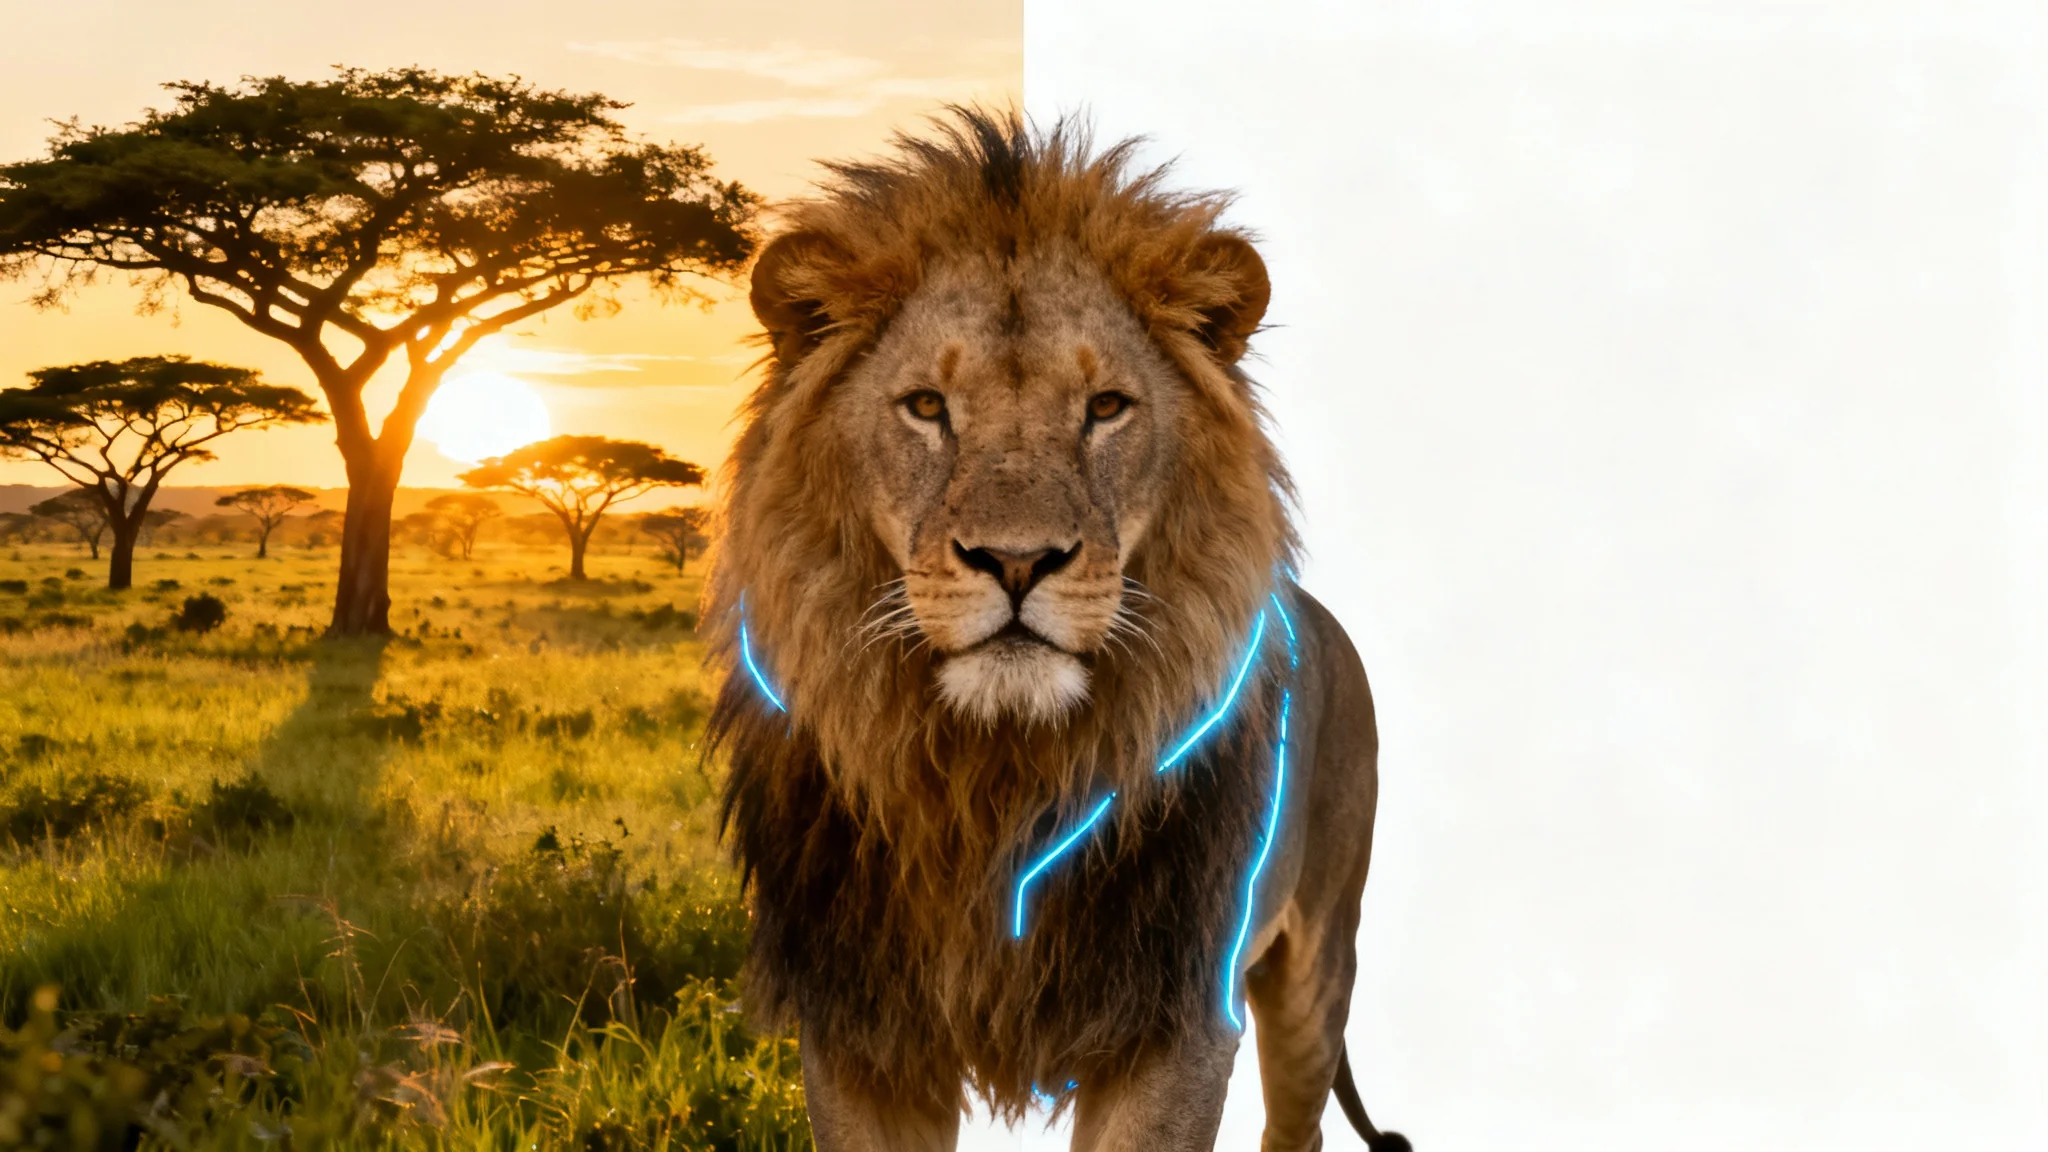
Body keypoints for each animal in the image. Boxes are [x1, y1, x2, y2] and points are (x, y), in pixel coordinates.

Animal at [704, 108, 1408, 1152]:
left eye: (1105, 407)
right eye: (927, 407)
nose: (1017, 560)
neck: (993, 776)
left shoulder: (1172, 1017)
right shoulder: (859, 1025)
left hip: (1317, 961)